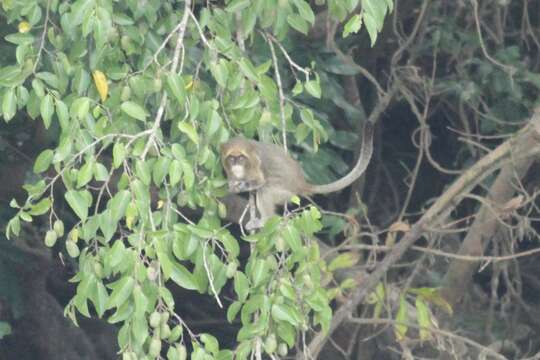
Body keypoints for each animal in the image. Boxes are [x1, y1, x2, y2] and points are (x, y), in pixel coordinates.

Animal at [220, 121, 376, 228]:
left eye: (241, 158)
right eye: (231, 158)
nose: (236, 164)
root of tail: (301, 184)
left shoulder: (254, 164)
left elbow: (260, 181)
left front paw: (241, 187)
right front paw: (233, 185)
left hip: (287, 194)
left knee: (265, 190)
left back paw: (265, 220)